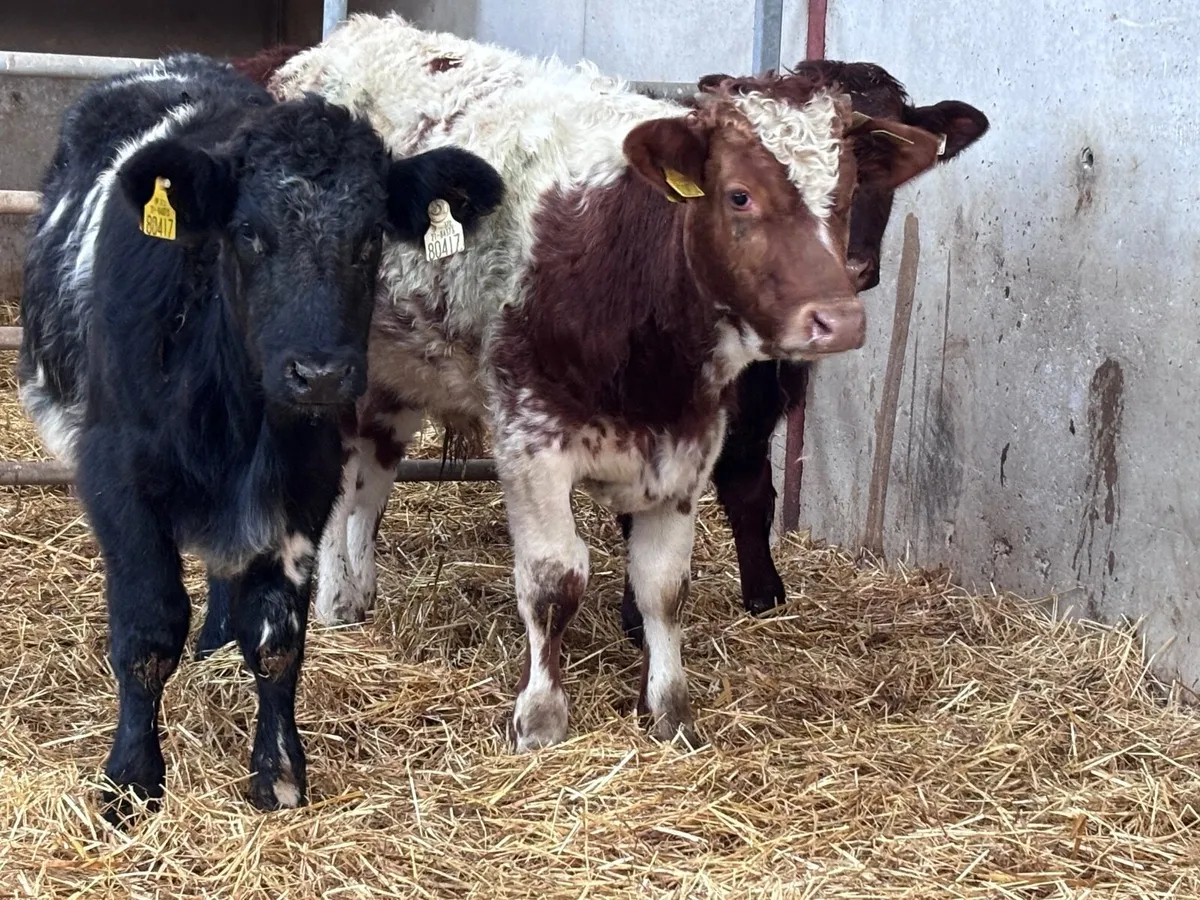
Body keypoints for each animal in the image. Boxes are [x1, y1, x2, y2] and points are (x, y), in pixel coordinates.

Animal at [18, 52, 503, 822]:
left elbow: (276, 637)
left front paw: (277, 773)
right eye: (248, 233)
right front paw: (131, 778)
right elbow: (148, 631)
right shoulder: (118, 476)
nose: (321, 373)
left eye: (370, 237)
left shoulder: (305, 483)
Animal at [232, 14, 948, 753]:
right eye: (739, 195)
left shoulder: (688, 445)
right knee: (333, 486)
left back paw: (356, 594)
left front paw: (670, 710)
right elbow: (554, 581)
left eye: (850, 191)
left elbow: (664, 585)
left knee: (369, 485)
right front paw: (540, 717)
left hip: (395, 377)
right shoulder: (531, 443)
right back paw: (327, 599)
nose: (839, 318)